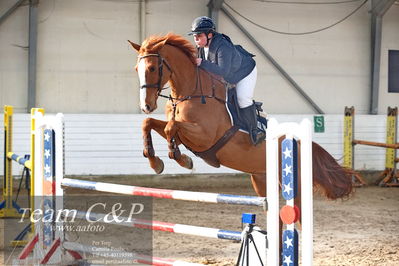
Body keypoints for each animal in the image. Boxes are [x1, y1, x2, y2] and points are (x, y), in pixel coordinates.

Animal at [130, 33, 354, 200]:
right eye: (137, 69)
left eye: (152, 68)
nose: (146, 106)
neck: (190, 91)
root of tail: (300, 143)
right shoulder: (184, 130)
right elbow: (150, 124)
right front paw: (156, 162)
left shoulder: (204, 135)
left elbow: (171, 128)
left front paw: (183, 160)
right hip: (261, 179)